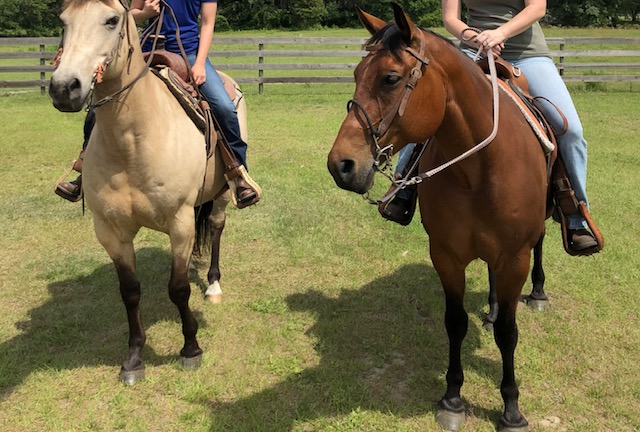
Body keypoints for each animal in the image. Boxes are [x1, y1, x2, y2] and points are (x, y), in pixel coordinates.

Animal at [48, 0, 245, 384]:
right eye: (63, 22)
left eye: (111, 20)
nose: (64, 87)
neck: (133, 141)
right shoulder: (111, 231)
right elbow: (130, 292)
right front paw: (134, 357)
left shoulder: (180, 221)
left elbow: (178, 288)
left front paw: (190, 348)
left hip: (221, 194)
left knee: (216, 226)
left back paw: (213, 285)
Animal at [328, 4, 552, 432]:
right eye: (356, 74)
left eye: (390, 78)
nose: (340, 165)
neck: (479, 170)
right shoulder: (446, 255)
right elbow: (455, 322)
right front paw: (452, 397)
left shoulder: (514, 258)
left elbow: (508, 333)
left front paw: (511, 408)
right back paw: (493, 306)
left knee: (542, 244)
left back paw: (538, 293)